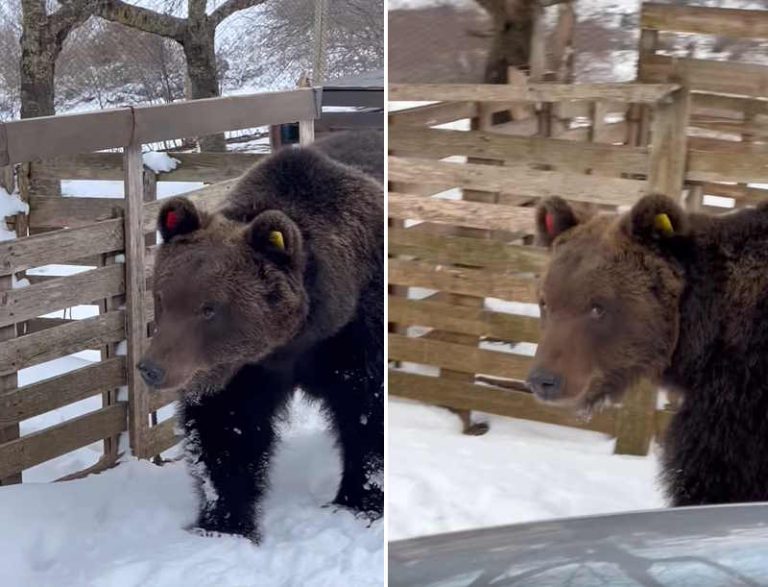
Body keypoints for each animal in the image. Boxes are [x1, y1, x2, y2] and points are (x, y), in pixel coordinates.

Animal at [139, 132, 384, 544]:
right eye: (162, 297)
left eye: (209, 308)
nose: (151, 369)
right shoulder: (240, 369)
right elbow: (228, 430)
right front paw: (223, 523)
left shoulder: (355, 334)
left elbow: (366, 414)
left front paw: (360, 501)